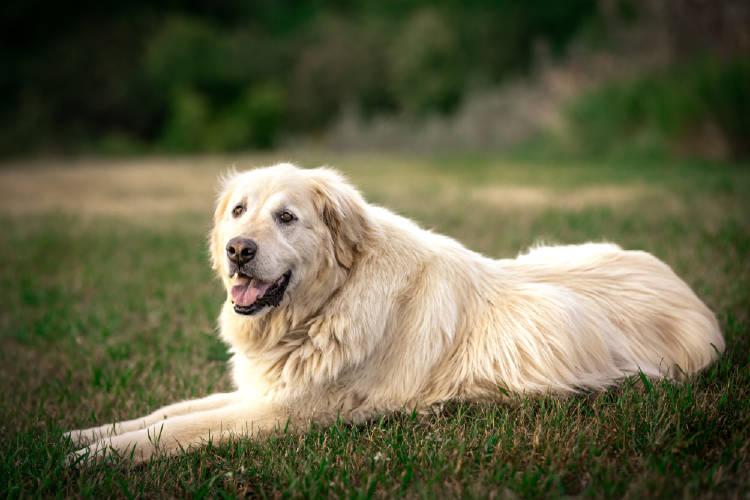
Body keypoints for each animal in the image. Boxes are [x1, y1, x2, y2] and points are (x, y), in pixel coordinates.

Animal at [66, 164, 728, 464]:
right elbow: (167, 412)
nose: (238, 251)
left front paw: (94, 459)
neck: (327, 305)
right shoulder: (264, 390)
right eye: (238, 211)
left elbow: (177, 431)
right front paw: (80, 435)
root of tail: (692, 294)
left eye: (286, 217)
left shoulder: (285, 414)